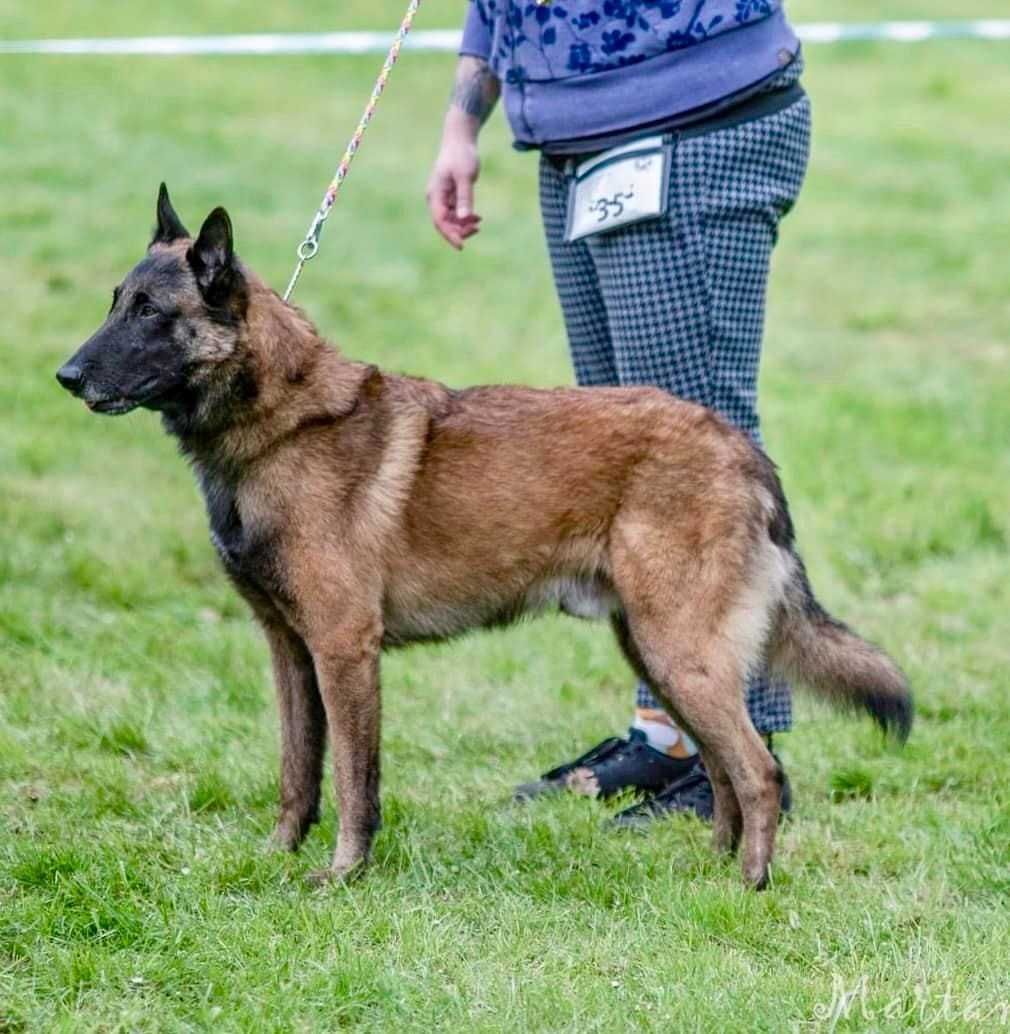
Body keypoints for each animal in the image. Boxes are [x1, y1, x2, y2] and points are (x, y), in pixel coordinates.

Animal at [60, 186, 913, 889]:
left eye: (150, 313)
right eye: (115, 302)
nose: (66, 377)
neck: (280, 423)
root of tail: (741, 446)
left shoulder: (344, 650)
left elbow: (354, 781)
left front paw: (343, 875)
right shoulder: (290, 651)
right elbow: (297, 772)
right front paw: (276, 858)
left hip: (682, 652)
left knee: (759, 771)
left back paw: (749, 887)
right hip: (658, 653)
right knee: (725, 770)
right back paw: (710, 870)